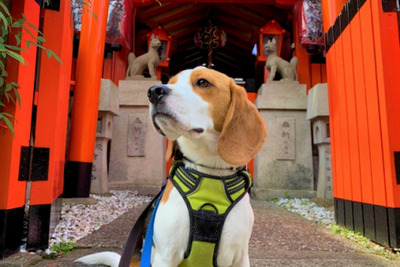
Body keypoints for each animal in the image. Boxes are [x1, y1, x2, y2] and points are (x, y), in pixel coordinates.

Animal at [77, 68, 268, 267]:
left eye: (203, 82)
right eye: (171, 82)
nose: (154, 92)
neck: (209, 171)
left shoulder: (240, 257)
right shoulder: (166, 255)